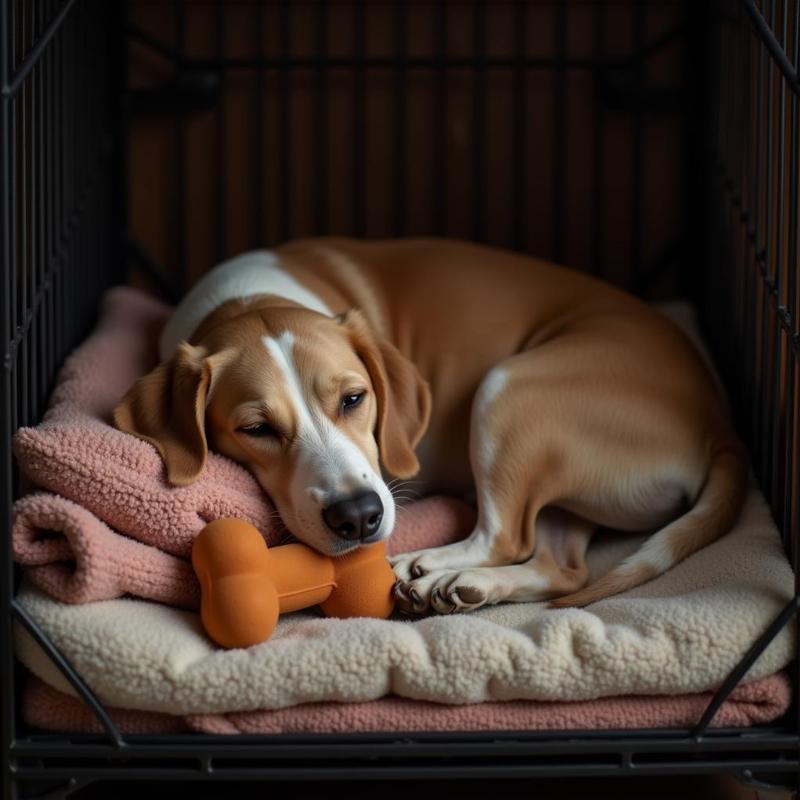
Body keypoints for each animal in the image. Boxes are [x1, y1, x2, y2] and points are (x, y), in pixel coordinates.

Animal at [114, 238, 752, 612]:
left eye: (354, 399)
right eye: (257, 430)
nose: (359, 517)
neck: (248, 300)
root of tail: (718, 422)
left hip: (509, 391)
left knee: (504, 535)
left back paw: (422, 567)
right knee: (558, 565)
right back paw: (471, 586)